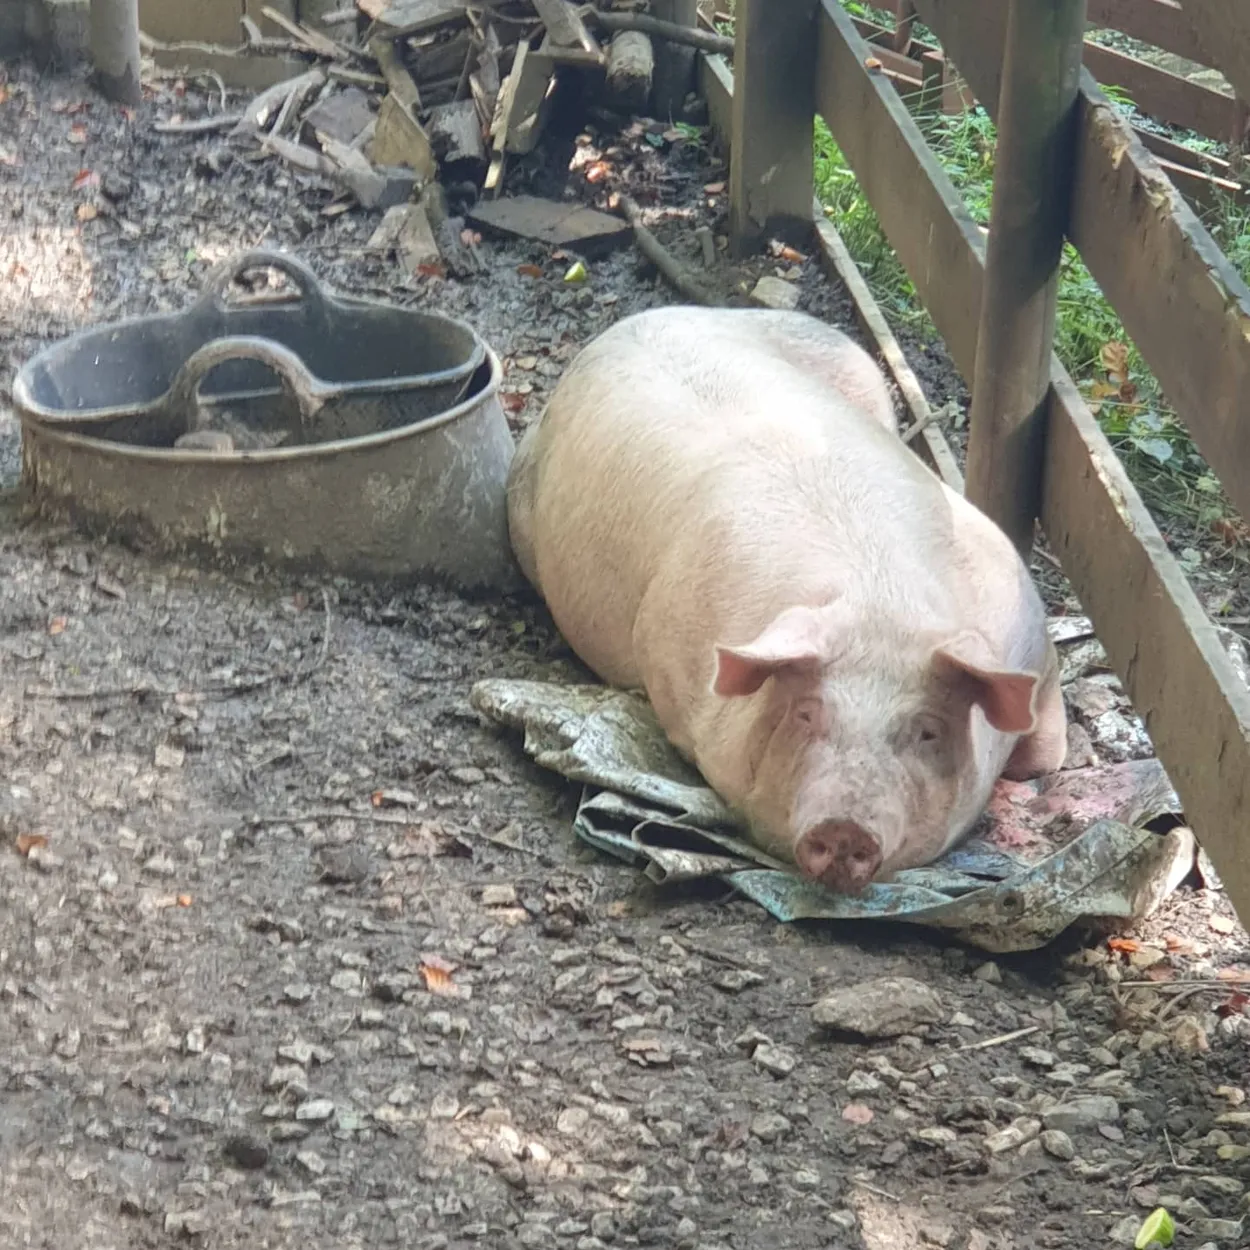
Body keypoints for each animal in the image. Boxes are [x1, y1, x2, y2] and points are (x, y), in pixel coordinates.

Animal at [505, 306, 1068, 894]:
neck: (881, 605)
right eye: (806, 714)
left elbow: (1045, 755)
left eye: (927, 731)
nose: (845, 828)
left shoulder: (1036, 645)